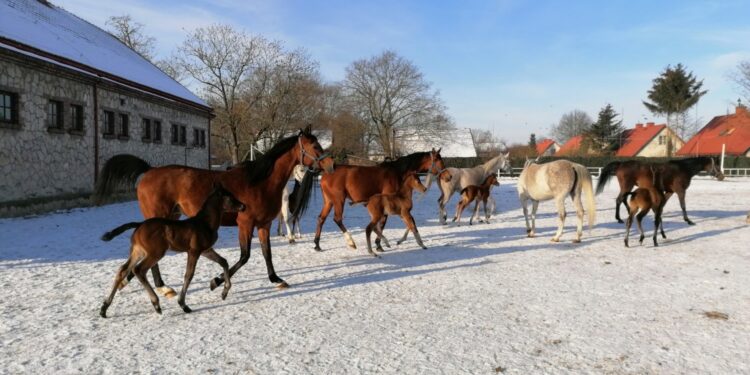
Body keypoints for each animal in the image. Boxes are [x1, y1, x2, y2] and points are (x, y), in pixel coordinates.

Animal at [95, 128, 336, 296]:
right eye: (315, 147)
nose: (331, 166)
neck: (260, 181)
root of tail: (149, 171)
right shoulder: (245, 223)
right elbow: (244, 257)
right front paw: (216, 281)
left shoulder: (263, 224)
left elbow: (267, 253)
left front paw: (276, 279)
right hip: (159, 219)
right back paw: (162, 287)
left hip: (172, 217)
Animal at [100, 185, 245, 318]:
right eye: (230, 197)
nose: (243, 206)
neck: (205, 223)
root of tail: (139, 225)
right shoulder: (194, 251)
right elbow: (189, 274)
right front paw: (183, 304)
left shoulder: (206, 250)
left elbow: (223, 262)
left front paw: (224, 292)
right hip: (156, 253)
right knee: (139, 270)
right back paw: (156, 304)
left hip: (138, 251)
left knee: (123, 270)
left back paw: (104, 308)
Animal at [312, 150, 450, 253]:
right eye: (438, 159)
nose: (448, 176)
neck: (397, 172)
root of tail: (325, 173)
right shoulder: (387, 204)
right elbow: (382, 224)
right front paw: (379, 245)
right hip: (338, 200)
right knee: (337, 219)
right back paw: (351, 242)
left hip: (329, 201)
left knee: (321, 218)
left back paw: (317, 245)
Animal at [596, 156, 724, 225]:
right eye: (717, 165)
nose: (722, 176)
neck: (683, 169)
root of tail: (621, 164)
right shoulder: (680, 191)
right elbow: (683, 205)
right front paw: (688, 220)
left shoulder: (669, 192)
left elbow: (662, 205)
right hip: (627, 186)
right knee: (619, 200)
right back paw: (618, 219)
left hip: (628, 187)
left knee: (623, 199)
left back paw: (627, 213)